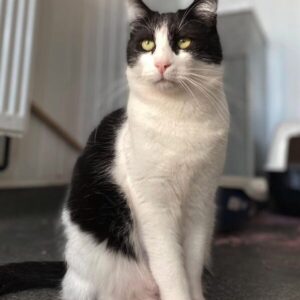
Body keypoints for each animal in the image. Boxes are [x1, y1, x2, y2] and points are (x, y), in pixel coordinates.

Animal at [0, 0, 230, 300]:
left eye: (184, 41)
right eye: (147, 44)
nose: (162, 63)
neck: (180, 119)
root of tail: (68, 269)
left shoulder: (201, 202)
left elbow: (190, 267)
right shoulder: (153, 206)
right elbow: (170, 267)